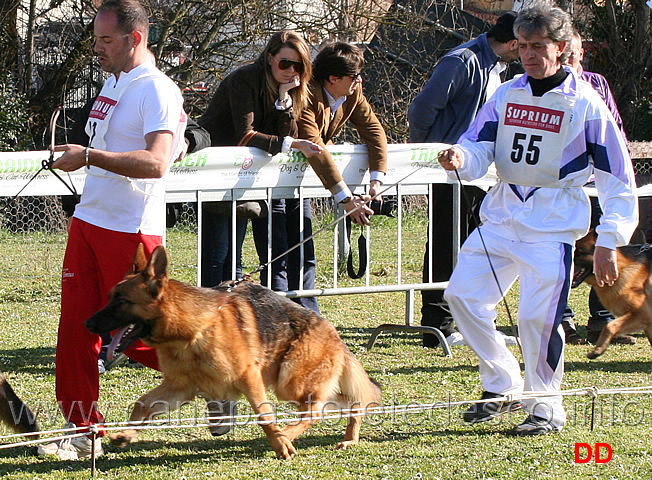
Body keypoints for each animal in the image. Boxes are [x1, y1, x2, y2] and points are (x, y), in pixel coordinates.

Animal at [85, 246, 382, 460]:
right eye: (109, 297)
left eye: (122, 301)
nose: (87, 324)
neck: (191, 331)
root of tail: (332, 331)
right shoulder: (180, 387)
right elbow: (142, 404)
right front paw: (126, 435)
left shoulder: (249, 377)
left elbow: (264, 416)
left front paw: (279, 444)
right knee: (351, 401)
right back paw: (350, 437)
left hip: (289, 383)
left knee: (315, 410)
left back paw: (288, 434)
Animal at [572, 230, 652, 360]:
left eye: (579, 253)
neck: (620, 268)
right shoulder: (646, 320)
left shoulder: (642, 314)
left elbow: (609, 326)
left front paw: (598, 350)